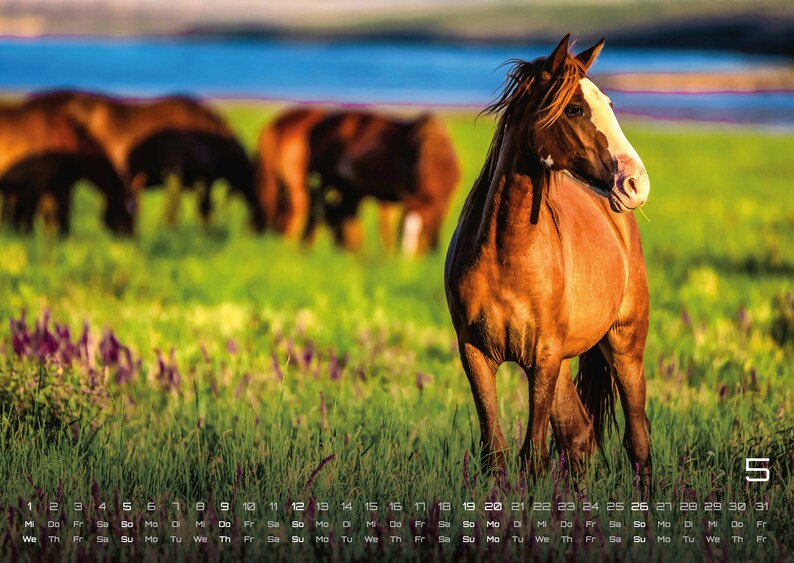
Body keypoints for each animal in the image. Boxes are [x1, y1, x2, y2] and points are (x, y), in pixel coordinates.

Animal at [255, 107, 461, 254]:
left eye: (424, 229)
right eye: (402, 231)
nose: (406, 262)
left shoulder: (442, 202)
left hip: (346, 192)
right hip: (321, 186)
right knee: (315, 216)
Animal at [444, 35, 652, 488]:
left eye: (609, 103)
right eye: (574, 108)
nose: (635, 183)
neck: (507, 253)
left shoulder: (542, 358)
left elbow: (532, 457)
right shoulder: (476, 354)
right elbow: (496, 454)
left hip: (625, 346)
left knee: (638, 441)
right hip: (565, 364)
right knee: (580, 436)